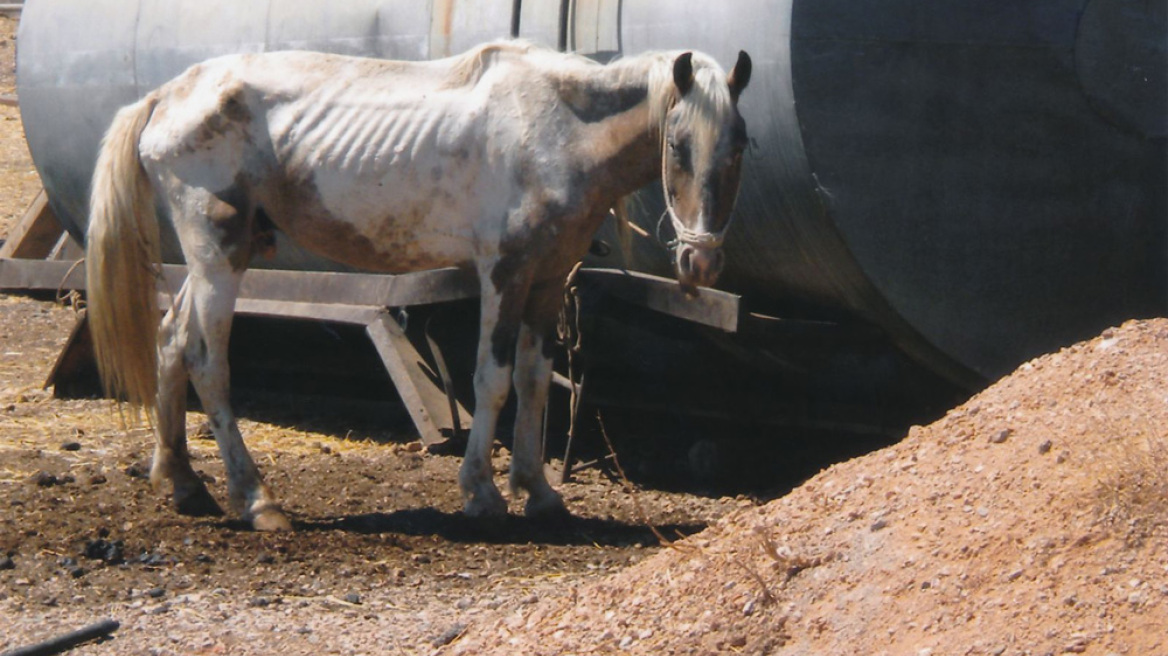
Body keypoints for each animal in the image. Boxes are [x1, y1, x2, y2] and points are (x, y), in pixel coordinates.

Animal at [86, 40, 752, 527]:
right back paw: (256, 500)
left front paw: (539, 491)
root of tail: (164, 96)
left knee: (171, 342)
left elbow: (535, 381)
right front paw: (482, 492)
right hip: (217, 253)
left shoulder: (546, 279)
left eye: (741, 146)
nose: (700, 264)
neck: (557, 125)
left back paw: (183, 482)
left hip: (219, 258)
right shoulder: (504, 272)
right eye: (677, 145)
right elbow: (493, 380)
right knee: (206, 360)